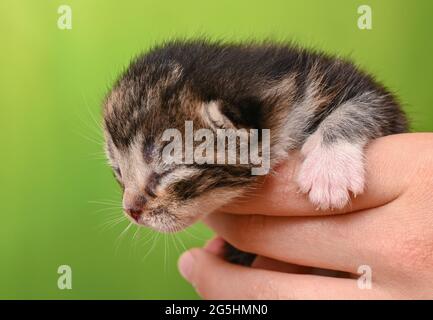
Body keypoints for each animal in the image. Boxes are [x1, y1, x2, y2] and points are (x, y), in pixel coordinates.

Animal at [103, 39, 406, 262]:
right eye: (119, 172)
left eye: (167, 172)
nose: (131, 211)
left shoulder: (350, 87)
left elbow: (363, 106)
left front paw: (330, 172)